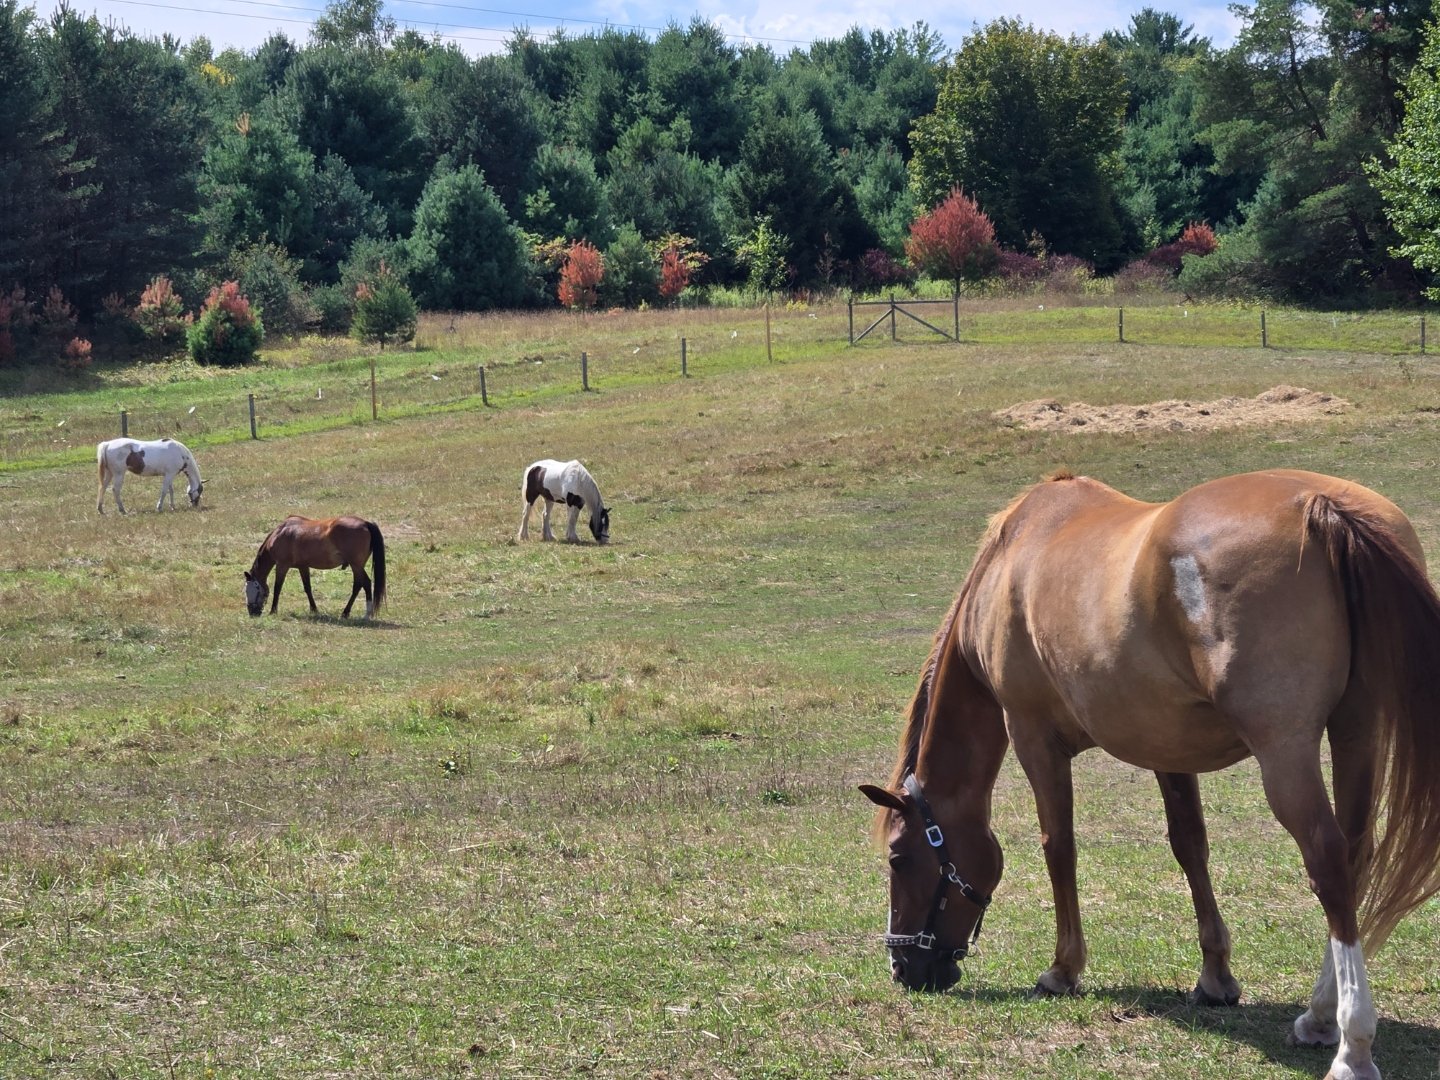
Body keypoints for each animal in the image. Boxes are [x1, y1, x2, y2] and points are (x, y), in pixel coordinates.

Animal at [244, 515, 386, 619]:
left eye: (250, 590)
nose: (252, 613)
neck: (280, 534)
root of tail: (365, 523)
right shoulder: (303, 567)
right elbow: (307, 588)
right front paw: (314, 609)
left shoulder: (282, 565)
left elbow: (277, 588)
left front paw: (273, 611)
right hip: (357, 566)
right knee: (359, 585)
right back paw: (348, 613)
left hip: (356, 565)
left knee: (365, 583)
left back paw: (365, 614)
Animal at [859, 469, 1440, 1080]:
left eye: (898, 858)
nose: (903, 967)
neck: (1010, 559)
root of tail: (1322, 505)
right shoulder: (1166, 745)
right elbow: (1190, 846)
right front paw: (1215, 978)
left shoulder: (1033, 736)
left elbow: (1058, 847)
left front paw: (1063, 969)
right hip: (1356, 733)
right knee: (1355, 854)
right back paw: (1320, 1014)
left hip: (1284, 751)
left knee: (1327, 860)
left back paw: (1352, 1044)